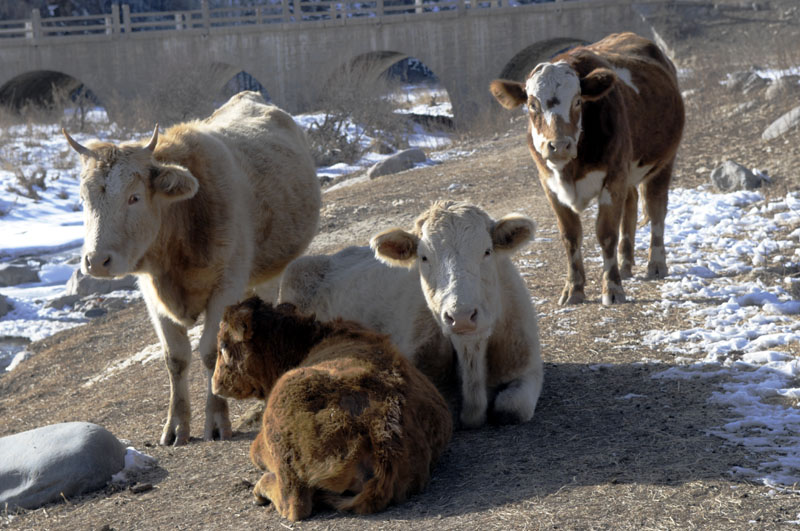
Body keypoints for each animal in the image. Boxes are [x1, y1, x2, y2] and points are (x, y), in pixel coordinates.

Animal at [65, 92, 322, 448]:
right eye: (83, 200)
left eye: (134, 197)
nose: (96, 261)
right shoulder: (151, 294)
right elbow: (176, 358)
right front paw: (176, 426)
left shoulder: (226, 286)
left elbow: (211, 352)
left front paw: (217, 420)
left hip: (271, 269)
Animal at [209, 300, 454, 524]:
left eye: (223, 345)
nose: (215, 383)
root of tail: (383, 428)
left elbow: (255, 452)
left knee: (294, 502)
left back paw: (260, 490)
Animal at [490, 32, 684, 308]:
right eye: (532, 104)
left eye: (578, 101)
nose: (559, 145)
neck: (570, 169)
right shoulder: (549, 185)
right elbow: (570, 236)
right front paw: (574, 289)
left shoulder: (613, 178)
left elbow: (606, 233)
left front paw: (612, 288)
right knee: (631, 203)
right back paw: (625, 263)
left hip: (663, 162)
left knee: (657, 207)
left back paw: (655, 264)